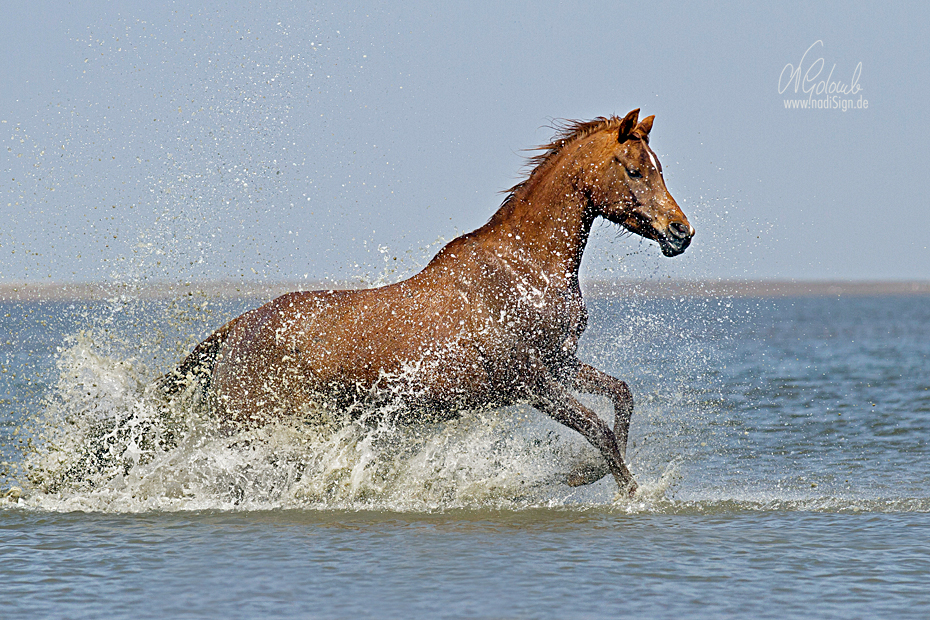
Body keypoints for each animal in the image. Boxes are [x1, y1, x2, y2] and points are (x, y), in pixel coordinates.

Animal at [160, 109, 692, 496]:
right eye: (635, 170)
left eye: (660, 168)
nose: (681, 232)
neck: (522, 268)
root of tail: (234, 331)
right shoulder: (529, 380)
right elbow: (598, 429)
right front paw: (630, 494)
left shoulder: (560, 362)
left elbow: (621, 396)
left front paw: (585, 474)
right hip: (255, 424)